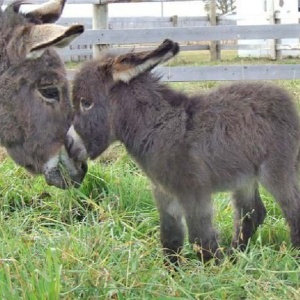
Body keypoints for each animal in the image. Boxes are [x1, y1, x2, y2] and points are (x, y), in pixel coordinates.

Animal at [67, 40, 300, 264]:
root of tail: (284, 98)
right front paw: (172, 272)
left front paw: (214, 270)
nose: (69, 146)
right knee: (251, 214)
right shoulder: (163, 192)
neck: (157, 126)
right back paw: (236, 256)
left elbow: (200, 238)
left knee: (292, 209)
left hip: (276, 169)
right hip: (244, 177)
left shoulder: (193, 192)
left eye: (86, 103)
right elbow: (170, 237)